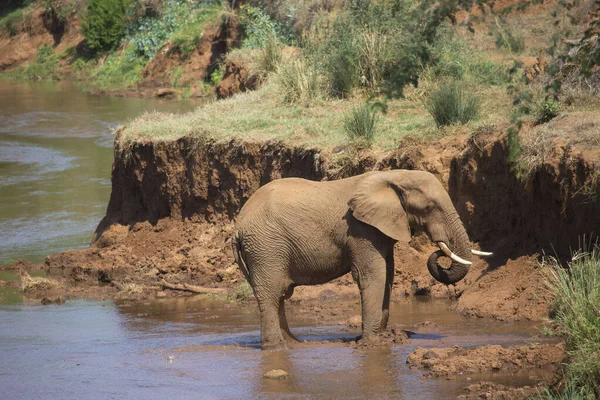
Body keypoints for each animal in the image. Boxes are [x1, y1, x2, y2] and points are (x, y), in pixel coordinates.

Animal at [232, 170, 490, 348]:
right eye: (428, 207)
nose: (439, 251)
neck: (394, 176)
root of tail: (237, 226)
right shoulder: (361, 229)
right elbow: (374, 275)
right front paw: (372, 344)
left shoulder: (380, 230)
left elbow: (388, 274)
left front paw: (385, 337)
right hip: (266, 247)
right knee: (271, 293)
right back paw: (277, 348)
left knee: (280, 294)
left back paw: (293, 343)